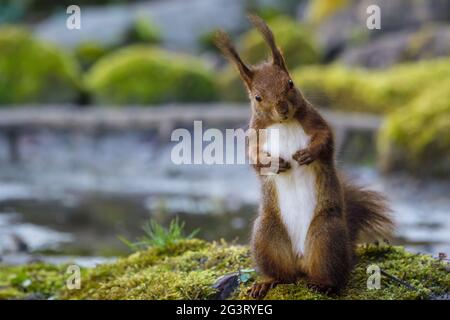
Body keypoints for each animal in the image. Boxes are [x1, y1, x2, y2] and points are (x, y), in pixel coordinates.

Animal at [214, 15, 394, 298]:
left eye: (290, 83)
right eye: (257, 97)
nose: (282, 108)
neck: (283, 124)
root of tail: (300, 260)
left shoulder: (317, 122)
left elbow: (326, 141)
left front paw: (307, 154)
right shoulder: (255, 136)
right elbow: (254, 159)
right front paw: (276, 163)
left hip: (325, 235)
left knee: (330, 273)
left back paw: (323, 285)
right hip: (267, 235)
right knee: (283, 275)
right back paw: (265, 282)